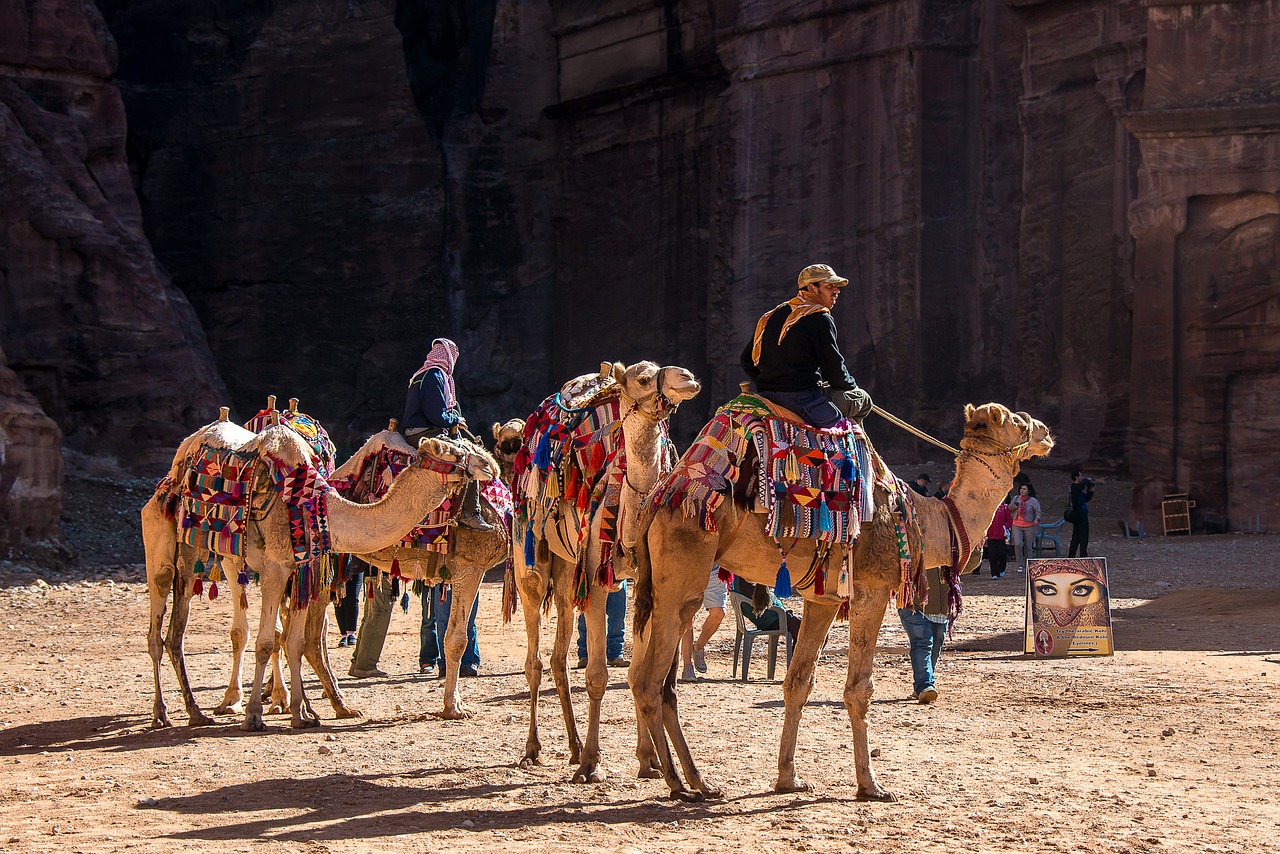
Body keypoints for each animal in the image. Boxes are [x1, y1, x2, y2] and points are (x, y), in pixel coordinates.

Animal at [144, 420, 497, 730]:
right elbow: (267, 642)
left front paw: (301, 715)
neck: (321, 506)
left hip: (201, 555)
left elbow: (294, 641)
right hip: (161, 538)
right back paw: (165, 714)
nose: (489, 465)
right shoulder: (276, 567)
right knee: (159, 628)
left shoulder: (302, 570)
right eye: (455, 453)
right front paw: (255, 716)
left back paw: (197, 713)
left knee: (177, 632)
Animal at [512, 360, 701, 783]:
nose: (687, 377)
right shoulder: (598, 584)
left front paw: (647, 760)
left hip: (568, 572)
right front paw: (591, 764)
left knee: (557, 657)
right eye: (643, 378)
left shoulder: (643, 584)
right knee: (534, 660)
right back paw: (535, 748)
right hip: (530, 559)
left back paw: (571, 745)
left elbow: (634, 675)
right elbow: (597, 675)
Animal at [628, 402, 1053, 801]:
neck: (925, 519)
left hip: (661, 590)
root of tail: (658, 501)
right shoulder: (871, 588)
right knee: (650, 682)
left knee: (651, 680)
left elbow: (798, 682)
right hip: (683, 571)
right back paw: (677, 783)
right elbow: (858, 689)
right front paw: (871, 785)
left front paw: (788, 778)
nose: (1046, 432)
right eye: (1017, 421)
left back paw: (695, 780)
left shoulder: (824, 599)